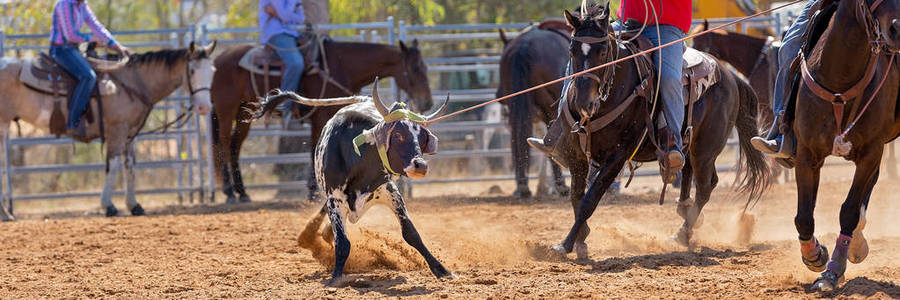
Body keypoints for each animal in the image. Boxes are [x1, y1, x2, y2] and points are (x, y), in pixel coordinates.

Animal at [212, 38, 436, 203]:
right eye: (415, 68)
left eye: (426, 67)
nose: (427, 102)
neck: (342, 66)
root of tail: (218, 59)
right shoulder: (320, 116)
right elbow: (314, 149)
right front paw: (313, 192)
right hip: (226, 110)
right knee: (224, 142)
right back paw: (230, 192)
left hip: (243, 114)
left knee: (234, 146)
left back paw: (242, 192)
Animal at [260, 83, 458, 284]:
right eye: (398, 135)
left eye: (422, 138)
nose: (421, 166)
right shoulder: (335, 198)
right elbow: (342, 242)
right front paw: (336, 278)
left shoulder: (390, 192)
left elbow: (411, 234)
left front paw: (442, 270)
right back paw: (310, 236)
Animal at [540, 2, 772, 258]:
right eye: (571, 50)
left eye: (603, 52)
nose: (584, 103)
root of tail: (731, 76)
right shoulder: (577, 155)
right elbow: (576, 197)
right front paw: (581, 239)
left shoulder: (618, 156)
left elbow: (589, 200)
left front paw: (566, 244)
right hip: (690, 143)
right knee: (687, 173)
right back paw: (684, 214)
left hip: (706, 149)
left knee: (705, 187)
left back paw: (682, 233)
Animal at [784, 0, 900, 292]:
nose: (898, 29)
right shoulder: (807, 155)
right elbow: (803, 216)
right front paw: (815, 256)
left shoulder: (871, 152)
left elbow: (848, 210)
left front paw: (832, 271)